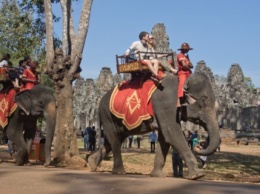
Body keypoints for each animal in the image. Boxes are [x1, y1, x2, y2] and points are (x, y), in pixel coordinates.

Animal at [88, 73, 221, 180]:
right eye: (203, 101)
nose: (198, 146)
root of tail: (99, 103)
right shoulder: (165, 104)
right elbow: (172, 133)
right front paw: (198, 175)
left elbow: (165, 138)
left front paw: (157, 175)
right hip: (107, 115)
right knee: (114, 139)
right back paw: (119, 172)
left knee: (112, 139)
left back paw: (92, 164)